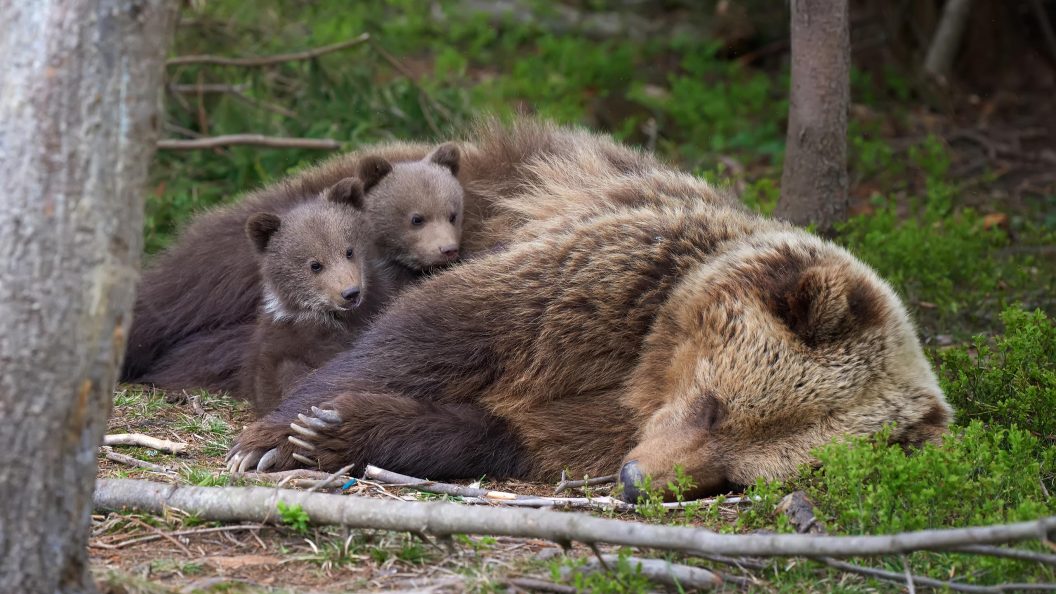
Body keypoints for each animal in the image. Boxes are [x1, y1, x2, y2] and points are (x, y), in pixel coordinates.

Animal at [227, 117, 954, 496]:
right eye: (714, 406)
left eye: (739, 476)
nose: (636, 478)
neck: (647, 365)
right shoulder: (611, 282)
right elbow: (436, 333)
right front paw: (276, 439)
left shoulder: (606, 419)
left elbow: (508, 432)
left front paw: (340, 429)